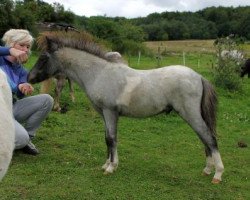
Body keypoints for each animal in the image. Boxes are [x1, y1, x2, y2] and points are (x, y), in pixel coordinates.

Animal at [27, 30, 225, 183]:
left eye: (43, 58)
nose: (29, 78)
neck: (99, 73)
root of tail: (199, 77)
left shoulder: (110, 112)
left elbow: (111, 139)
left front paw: (111, 167)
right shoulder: (104, 114)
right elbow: (107, 138)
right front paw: (107, 164)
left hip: (190, 114)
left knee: (209, 138)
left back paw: (217, 174)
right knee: (204, 138)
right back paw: (207, 170)